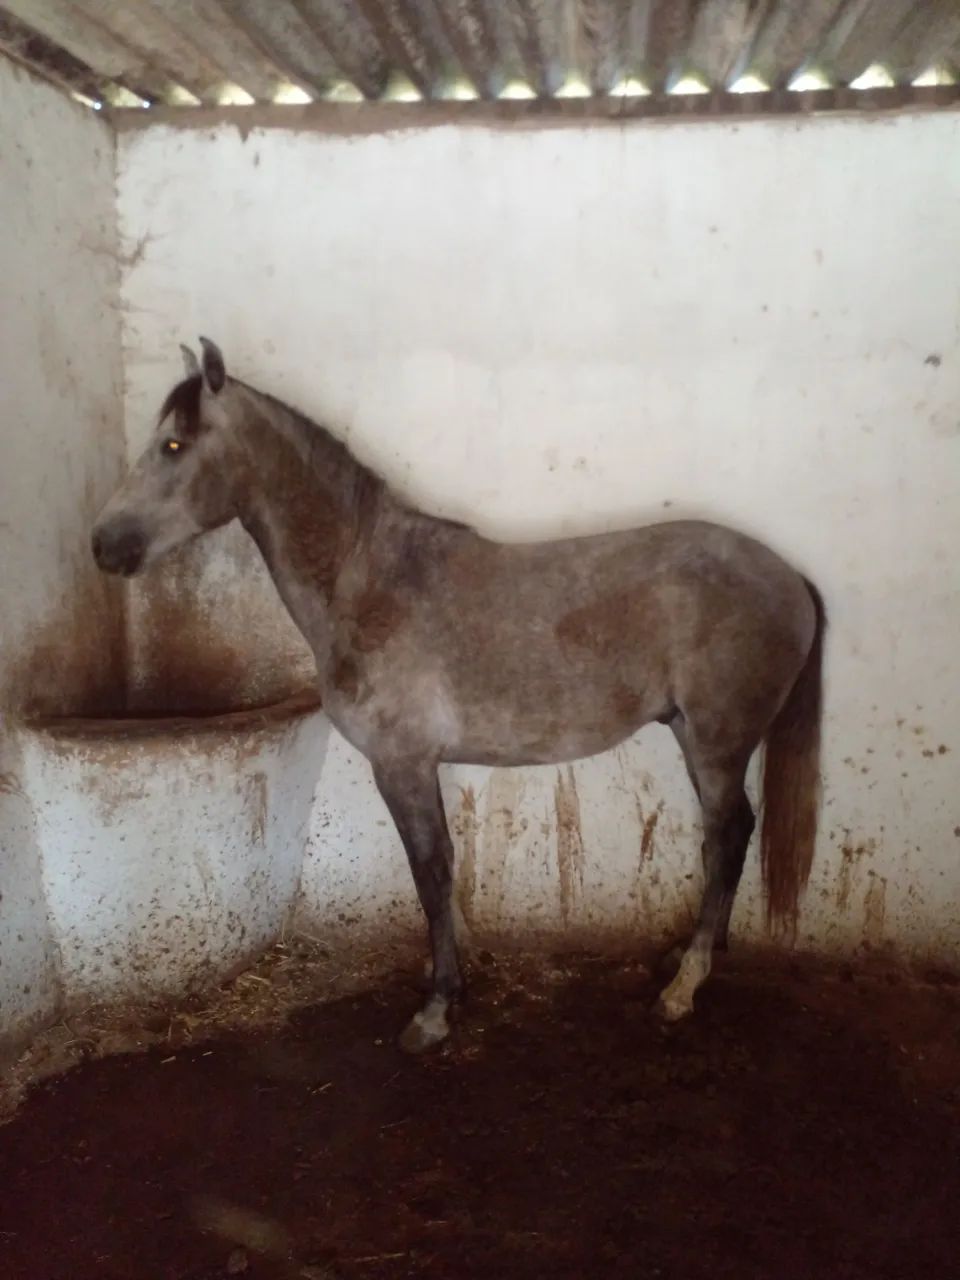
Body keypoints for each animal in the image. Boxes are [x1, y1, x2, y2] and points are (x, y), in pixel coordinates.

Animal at [92, 338, 825, 1053]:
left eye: (174, 445)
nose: (104, 545)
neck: (369, 581)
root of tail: (790, 576)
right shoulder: (421, 766)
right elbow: (443, 868)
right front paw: (454, 969)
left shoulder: (402, 764)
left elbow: (431, 868)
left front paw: (437, 1008)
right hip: (693, 736)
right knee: (728, 837)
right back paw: (696, 955)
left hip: (716, 743)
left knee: (725, 839)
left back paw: (683, 987)